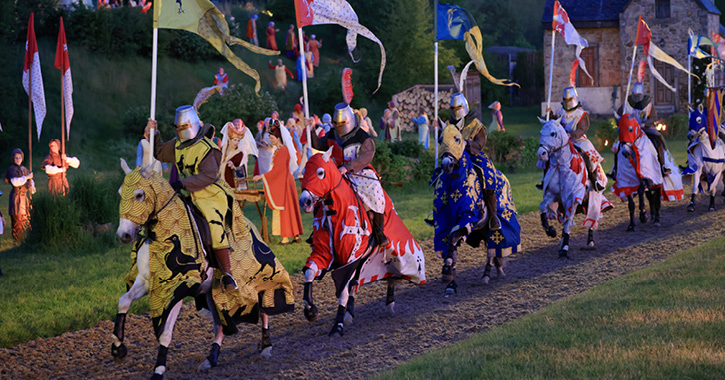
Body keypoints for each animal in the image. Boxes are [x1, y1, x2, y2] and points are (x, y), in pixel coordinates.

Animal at [113, 160, 294, 380]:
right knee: (220, 323)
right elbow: (124, 301)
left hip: (257, 281)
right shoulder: (146, 282)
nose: (123, 235)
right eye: (120, 192)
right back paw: (211, 358)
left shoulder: (177, 291)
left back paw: (266, 346)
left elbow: (165, 333)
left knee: (263, 308)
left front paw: (158, 370)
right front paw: (118, 348)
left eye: (139, 194)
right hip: (213, 293)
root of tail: (253, 228)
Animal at [298, 147, 428, 336]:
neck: (336, 211)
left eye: (320, 172)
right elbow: (310, 272)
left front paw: (337, 325)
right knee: (355, 283)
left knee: (382, 277)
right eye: (304, 173)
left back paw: (389, 304)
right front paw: (310, 310)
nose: (304, 202)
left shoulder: (351, 258)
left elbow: (342, 291)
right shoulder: (324, 253)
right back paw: (350, 312)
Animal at [430, 124, 520, 294]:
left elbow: (453, 238)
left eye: (457, 139)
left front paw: (447, 271)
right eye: (440, 139)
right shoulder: (444, 223)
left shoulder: (468, 218)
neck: (454, 183)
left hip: (492, 231)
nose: (446, 164)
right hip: (483, 231)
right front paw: (450, 280)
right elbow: (451, 246)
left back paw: (486, 275)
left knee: (491, 252)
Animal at [536, 116, 612, 258]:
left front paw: (564, 249)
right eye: (541, 133)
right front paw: (550, 231)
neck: (562, 164)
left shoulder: (573, 198)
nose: (541, 153)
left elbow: (568, 222)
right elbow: (543, 207)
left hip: (593, 198)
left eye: (553, 133)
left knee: (593, 217)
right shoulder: (553, 195)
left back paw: (590, 241)